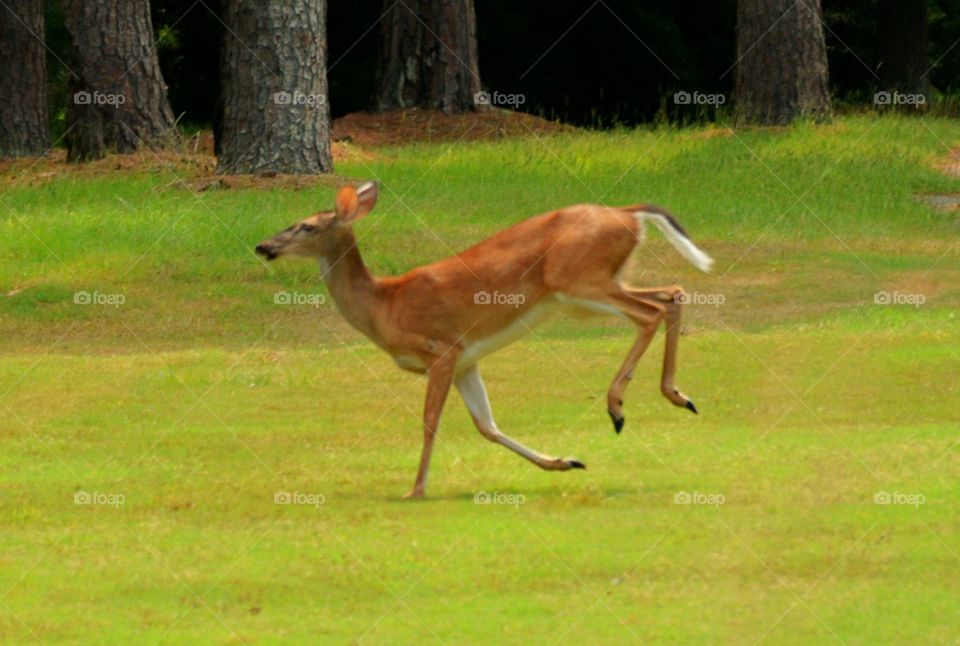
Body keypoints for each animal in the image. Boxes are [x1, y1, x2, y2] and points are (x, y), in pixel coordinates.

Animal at [255, 182, 713, 498]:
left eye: (306, 225)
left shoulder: (441, 349)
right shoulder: (466, 362)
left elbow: (430, 421)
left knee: (649, 312)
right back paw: (679, 396)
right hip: (596, 283)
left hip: (577, 282)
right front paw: (565, 461)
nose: (263, 246)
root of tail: (627, 212)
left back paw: (618, 406)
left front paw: (415, 489)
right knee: (672, 292)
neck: (384, 305)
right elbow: (486, 426)